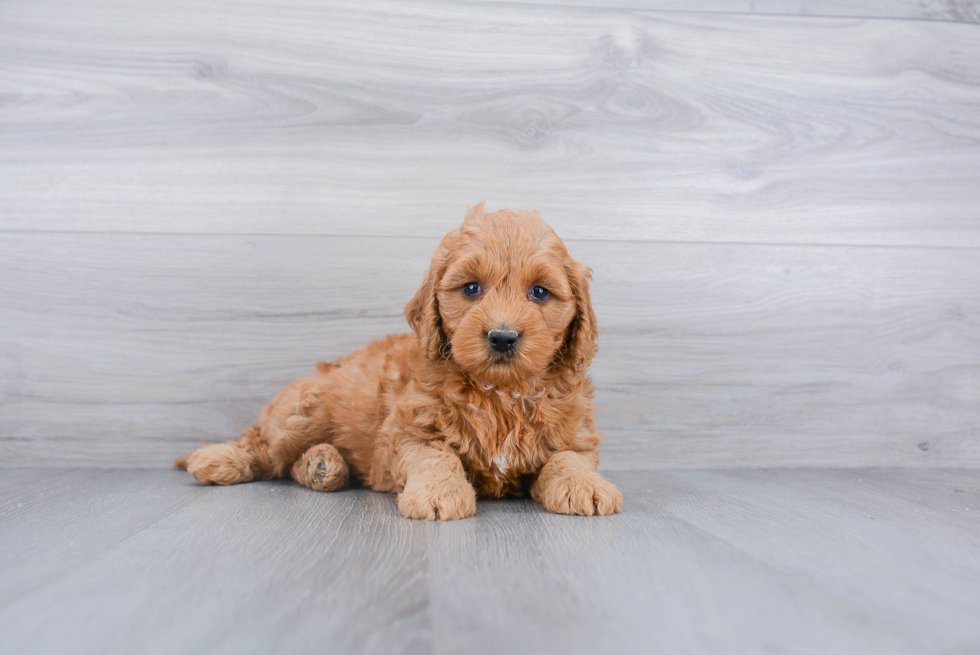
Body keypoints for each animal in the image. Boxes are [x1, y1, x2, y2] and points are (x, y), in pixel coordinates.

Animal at [176, 202, 620, 520]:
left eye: (540, 292)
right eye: (471, 288)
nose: (502, 336)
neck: (500, 394)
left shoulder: (575, 432)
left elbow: (570, 457)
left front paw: (587, 486)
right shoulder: (410, 430)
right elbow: (436, 456)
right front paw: (439, 494)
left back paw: (322, 466)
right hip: (303, 413)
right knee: (263, 446)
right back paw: (218, 458)